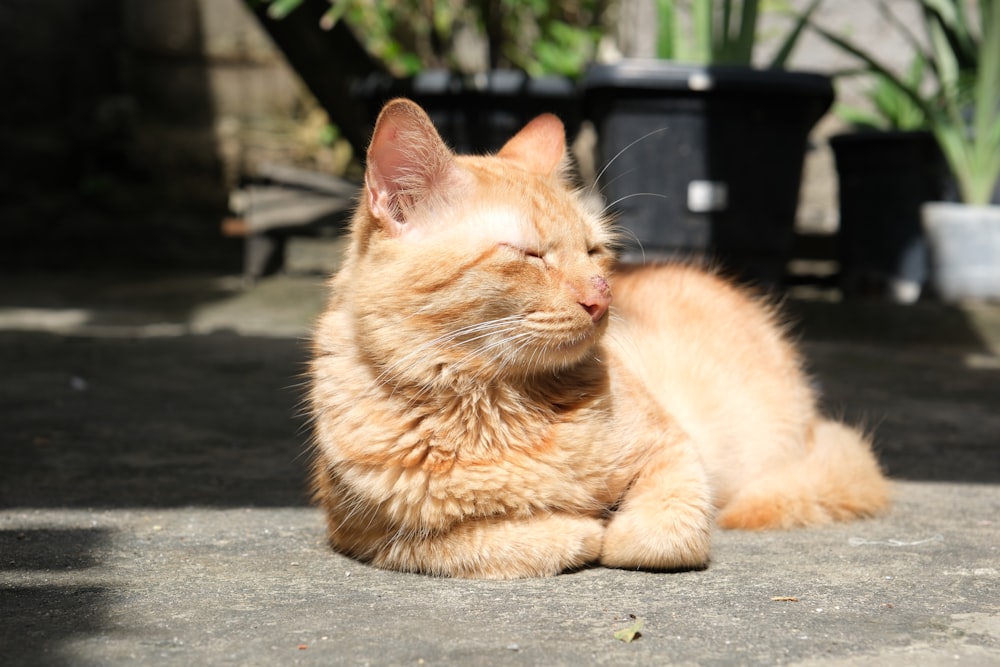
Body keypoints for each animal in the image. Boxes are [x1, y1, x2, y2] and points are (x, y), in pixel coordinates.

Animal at [306, 99, 892, 580]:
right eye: (530, 254)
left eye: (592, 251)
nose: (601, 297)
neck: (495, 407)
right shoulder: (368, 536)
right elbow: (485, 544)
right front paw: (573, 527)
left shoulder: (676, 452)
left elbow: (662, 534)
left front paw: (613, 529)